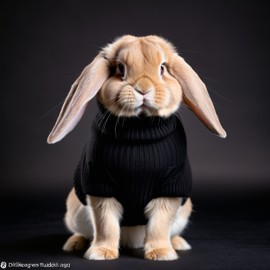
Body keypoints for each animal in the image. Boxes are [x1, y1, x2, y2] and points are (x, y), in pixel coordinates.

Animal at [46, 34, 226, 260]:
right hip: (75, 209)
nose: (143, 89)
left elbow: (159, 224)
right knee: (84, 231)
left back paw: (178, 244)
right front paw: (101, 253)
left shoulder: (170, 188)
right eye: (120, 68)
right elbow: (106, 224)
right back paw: (74, 244)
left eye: (162, 68)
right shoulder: (100, 185)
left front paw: (161, 253)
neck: (140, 131)